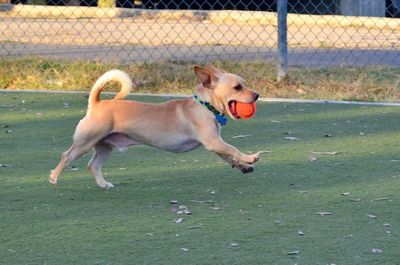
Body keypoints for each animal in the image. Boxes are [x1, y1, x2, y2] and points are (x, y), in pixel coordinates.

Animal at [49, 64, 262, 188]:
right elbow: (233, 149)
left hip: (105, 146)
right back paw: (53, 177)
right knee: (66, 155)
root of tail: (96, 103)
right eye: (237, 88)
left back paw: (103, 184)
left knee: (92, 165)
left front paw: (243, 166)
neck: (205, 105)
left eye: (245, 84)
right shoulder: (212, 142)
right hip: (85, 142)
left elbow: (229, 156)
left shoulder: (214, 144)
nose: (257, 95)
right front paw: (250, 157)